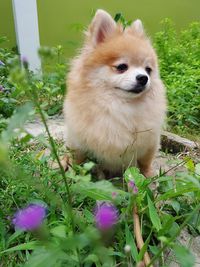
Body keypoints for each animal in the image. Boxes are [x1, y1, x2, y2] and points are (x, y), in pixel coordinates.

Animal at [63, 9, 166, 178]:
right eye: (121, 67)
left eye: (148, 70)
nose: (143, 78)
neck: (118, 106)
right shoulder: (77, 143)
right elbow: (77, 160)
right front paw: (75, 176)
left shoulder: (150, 142)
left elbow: (145, 162)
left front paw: (148, 175)